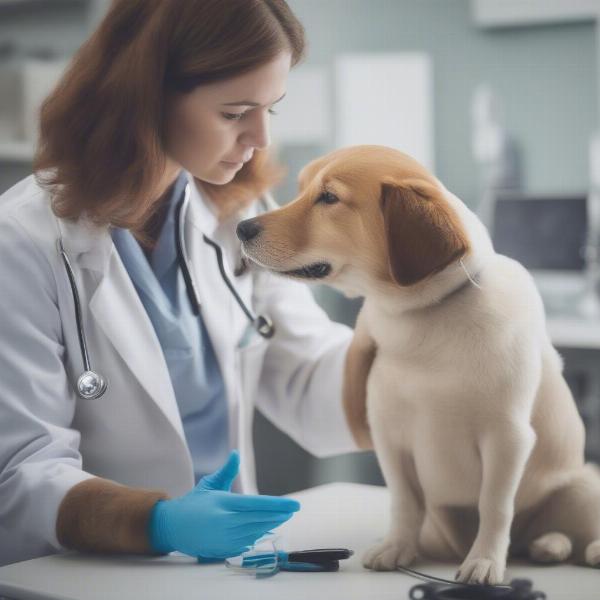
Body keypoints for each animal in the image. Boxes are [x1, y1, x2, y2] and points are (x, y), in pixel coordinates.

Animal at [234, 143, 600, 584]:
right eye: (302, 188)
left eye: (329, 198)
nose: (241, 227)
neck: (426, 320)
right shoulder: (390, 438)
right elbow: (405, 502)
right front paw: (396, 547)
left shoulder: (507, 437)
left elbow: (495, 506)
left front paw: (484, 560)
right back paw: (545, 546)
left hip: (582, 487)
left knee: (565, 527)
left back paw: (568, 546)